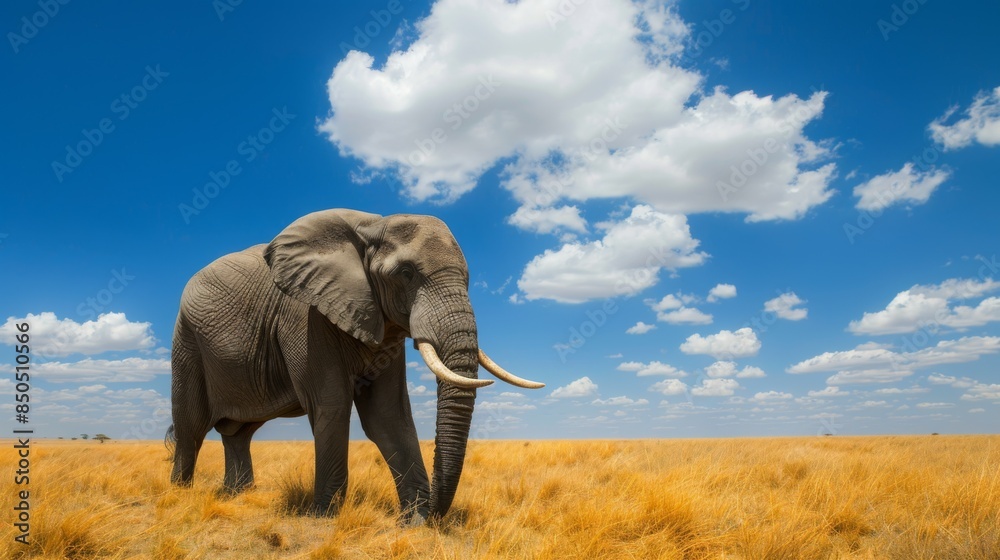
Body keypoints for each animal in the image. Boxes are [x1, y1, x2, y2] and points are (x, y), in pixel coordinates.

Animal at [167, 209, 543, 524]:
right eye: (406, 274)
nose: (435, 512)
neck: (373, 225)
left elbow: (387, 415)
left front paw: (414, 522)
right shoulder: (304, 315)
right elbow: (331, 404)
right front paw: (323, 517)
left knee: (238, 433)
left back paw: (236, 495)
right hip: (187, 340)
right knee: (191, 427)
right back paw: (179, 495)